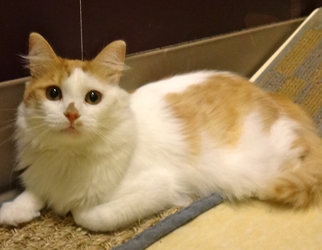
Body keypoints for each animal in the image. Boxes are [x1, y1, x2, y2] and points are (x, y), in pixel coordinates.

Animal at [0, 31, 320, 232]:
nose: (71, 114)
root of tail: (270, 95)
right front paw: (14, 211)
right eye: (54, 93)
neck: (69, 159)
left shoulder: (159, 186)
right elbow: (32, 193)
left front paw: (71, 210)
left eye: (93, 98)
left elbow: (89, 215)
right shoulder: (41, 174)